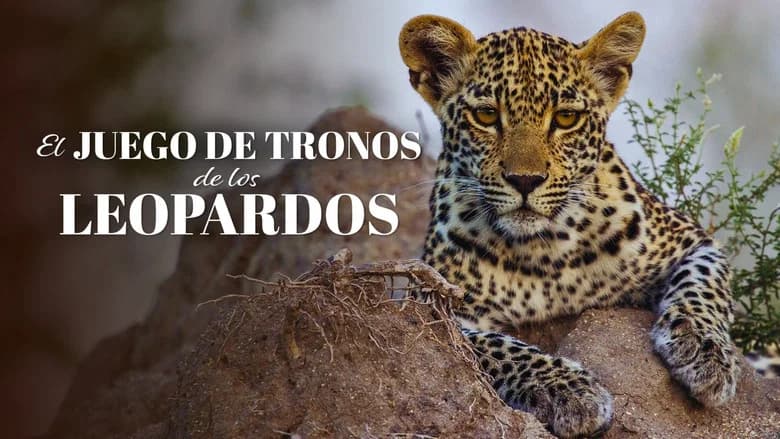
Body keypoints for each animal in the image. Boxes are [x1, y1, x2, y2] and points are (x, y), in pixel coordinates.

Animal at [399, 11, 746, 437]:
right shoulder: (431, 305)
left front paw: (705, 353)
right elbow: (498, 347)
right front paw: (567, 390)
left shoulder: (691, 239)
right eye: (486, 115)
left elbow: (703, 285)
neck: (543, 248)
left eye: (566, 118)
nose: (525, 180)